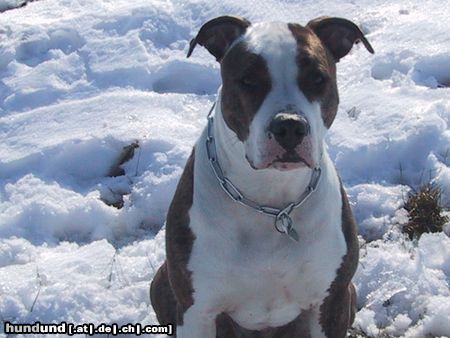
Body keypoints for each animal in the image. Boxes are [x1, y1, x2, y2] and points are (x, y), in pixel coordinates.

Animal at [151, 14, 372, 336]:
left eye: (317, 79)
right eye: (249, 80)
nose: (290, 126)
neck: (271, 200)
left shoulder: (331, 301)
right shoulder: (196, 311)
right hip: (161, 283)